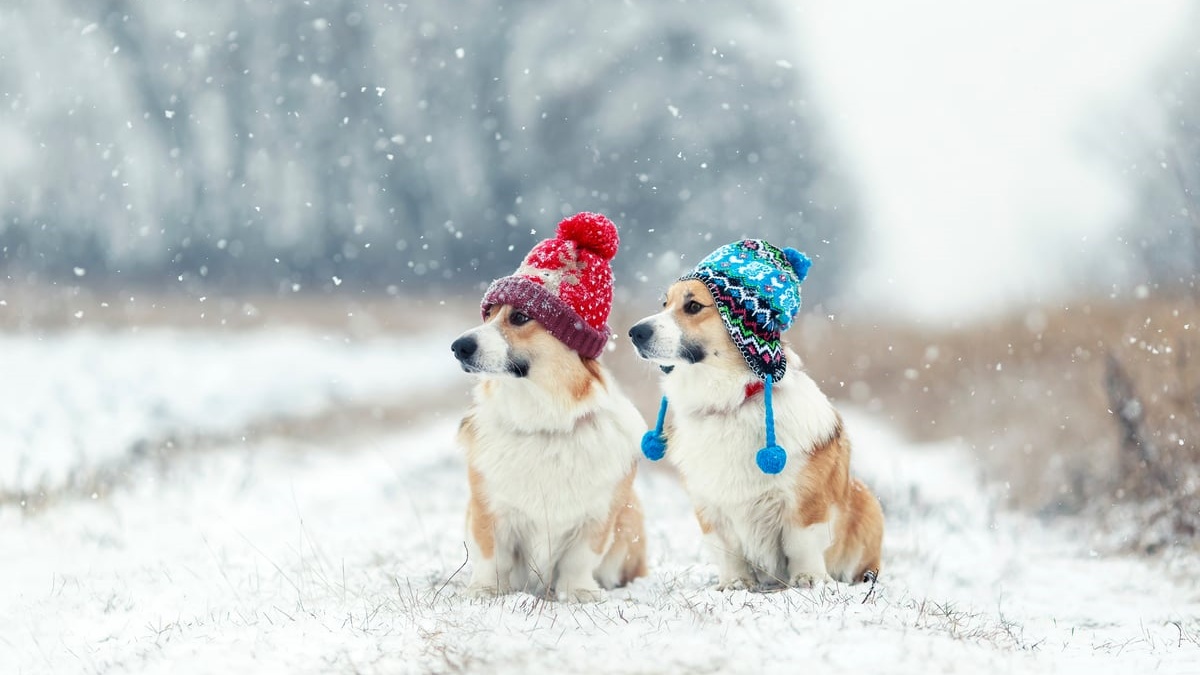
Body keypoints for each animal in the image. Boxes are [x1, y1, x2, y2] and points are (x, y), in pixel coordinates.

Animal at [448, 210, 648, 598]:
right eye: (489, 314)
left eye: (520, 317)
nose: (458, 346)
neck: (544, 420)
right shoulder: (488, 510)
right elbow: (491, 557)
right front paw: (483, 592)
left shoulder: (598, 515)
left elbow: (579, 560)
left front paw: (579, 594)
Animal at [628, 239, 883, 586]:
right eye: (664, 303)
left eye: (693, 306)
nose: (634, 332)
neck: (731, 401)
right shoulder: (709, 506)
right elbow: (726, 550)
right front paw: (735, 584)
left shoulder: (804, 502)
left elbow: (802, 543)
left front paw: (809, 580)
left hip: (867, 502)